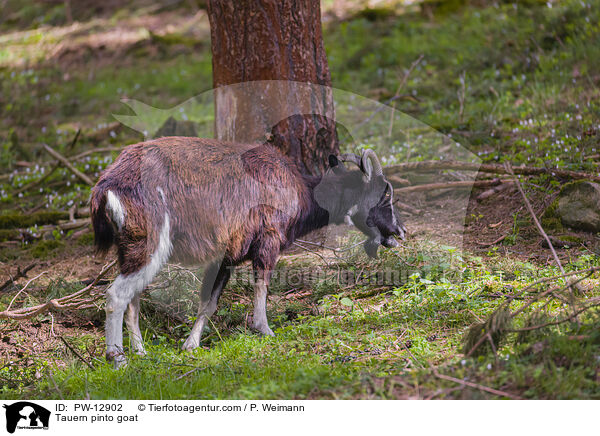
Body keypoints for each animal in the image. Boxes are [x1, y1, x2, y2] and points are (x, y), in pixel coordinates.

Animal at [90, 137, 408, 364]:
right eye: (385, 194)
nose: (400, 233)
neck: (299, 190)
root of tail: (106, 186)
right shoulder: (267, 241)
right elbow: (262, 286)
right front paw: (264, 329)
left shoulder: (225, 257)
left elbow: (209, 301)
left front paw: (190, 345)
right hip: (151, 246)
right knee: (116, 295)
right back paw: (117, 357)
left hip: (131, 249)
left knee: (132, 299)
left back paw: (141, 352)